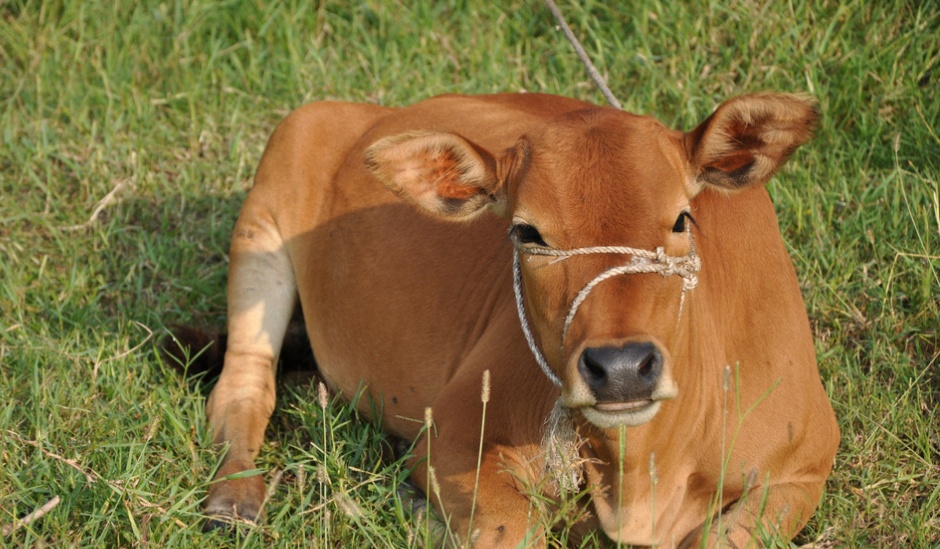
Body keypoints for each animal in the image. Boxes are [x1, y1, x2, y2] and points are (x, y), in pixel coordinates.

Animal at [184, 92, 836, 544]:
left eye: (681, 219)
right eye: (527, 232)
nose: (622, 367)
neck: (641, 476)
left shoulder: (804, 469)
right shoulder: (453, 434)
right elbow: (514, 529)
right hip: (267, 209)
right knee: (243, 384)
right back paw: (234, 499)